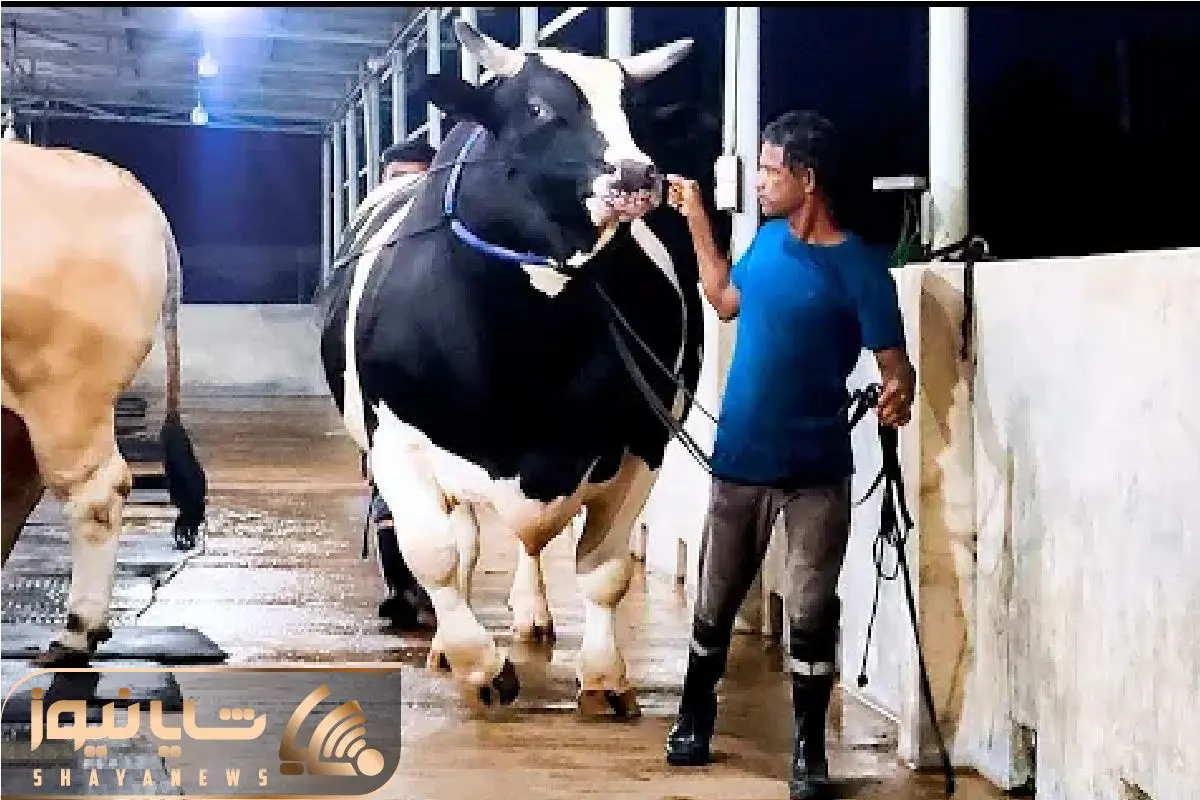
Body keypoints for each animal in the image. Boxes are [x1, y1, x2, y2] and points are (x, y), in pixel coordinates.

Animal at [319, 18, 703, 717]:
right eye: (538, 109)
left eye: (634, 112)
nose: (637, 174)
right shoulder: (396, 440)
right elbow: (438, 555)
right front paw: (478, 665)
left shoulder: (644, 441)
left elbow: (604, 569)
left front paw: (604, 678)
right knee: (468, 543)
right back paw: (449, 645)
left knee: (529, 544)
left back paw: (531, 614)